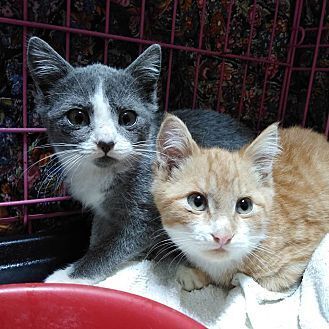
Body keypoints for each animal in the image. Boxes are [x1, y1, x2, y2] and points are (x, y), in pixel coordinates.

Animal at [27, 35, 254, 282]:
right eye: (77, 117)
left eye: (128, 117)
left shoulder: (149, 215)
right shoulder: (103, 212)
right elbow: (99, 234)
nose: (106, 143)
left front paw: (68, 277)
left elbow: (114, 247)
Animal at [152, 114, 328, 290]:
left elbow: (262, 282)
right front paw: (195, 273)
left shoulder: (294, 263)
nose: (223, 237)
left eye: (245, 205)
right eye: (197, 201)